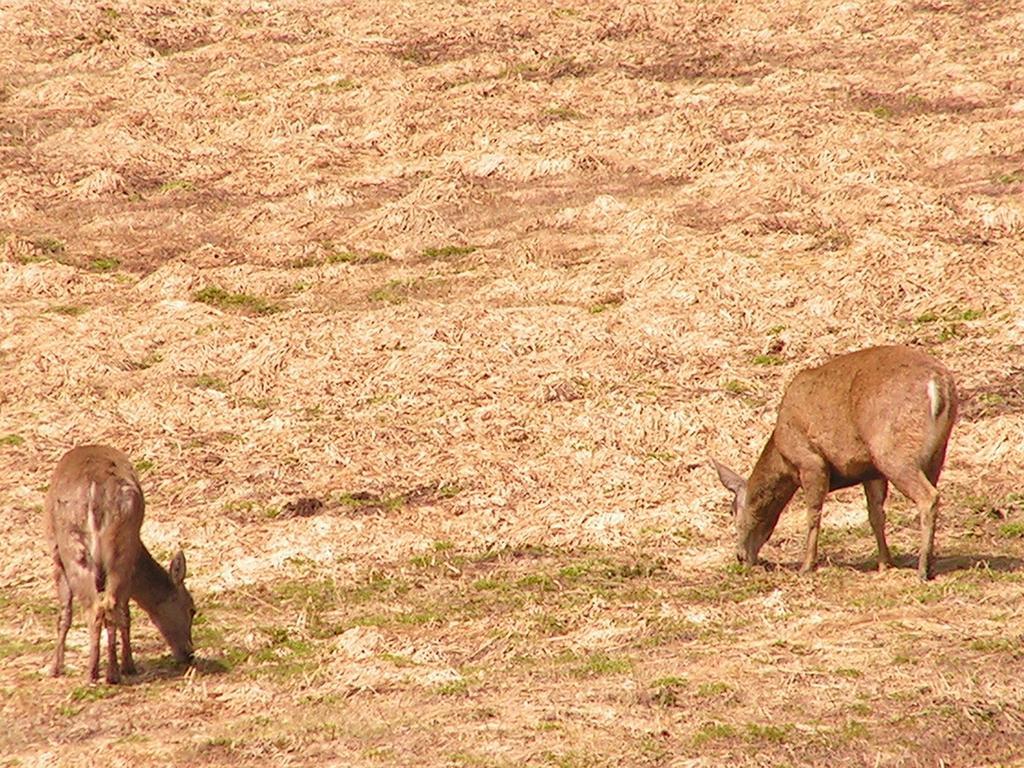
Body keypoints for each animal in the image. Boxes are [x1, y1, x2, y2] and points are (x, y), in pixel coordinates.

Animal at [42, 444, 193, 684]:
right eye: (192, 609)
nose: (190, 653)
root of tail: (96, 491)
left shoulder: (56, 559)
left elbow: (64, 615)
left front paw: (55, 668)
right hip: (120, 548)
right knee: (109, 606)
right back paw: (111, 672)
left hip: (74, 546)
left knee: (100, 608)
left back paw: (97, 672)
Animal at [712, 346, 958, 581]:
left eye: (732, 510)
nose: (740, 557)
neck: (783, 459)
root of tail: (938, 383)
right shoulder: (870, 471)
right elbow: (876, 515)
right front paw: (884, 563)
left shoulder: (811, 461)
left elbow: (813, 514)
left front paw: (806, 566)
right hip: (936, 451)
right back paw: (930, 563)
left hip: (892, 449)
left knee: (928, 496)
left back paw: (923, 570)